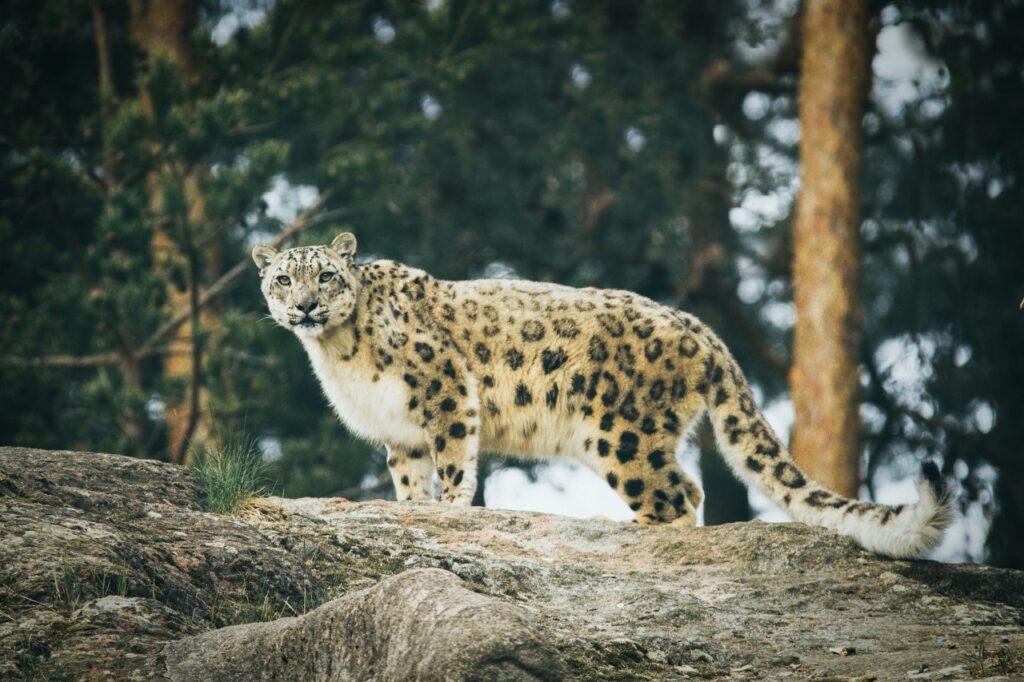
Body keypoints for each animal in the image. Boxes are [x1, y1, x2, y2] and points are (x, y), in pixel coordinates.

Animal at [253, 232, 953, 558]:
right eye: (283, 278)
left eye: (326, 275)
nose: (305, 305)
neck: (336, 355)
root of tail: (701, 329)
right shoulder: (399, 432)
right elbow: (408, 478)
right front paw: (412, 510)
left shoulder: (445, 390)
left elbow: (454, 459)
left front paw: (449, 508)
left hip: (618, 431)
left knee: (679, 493)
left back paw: (622, 527)